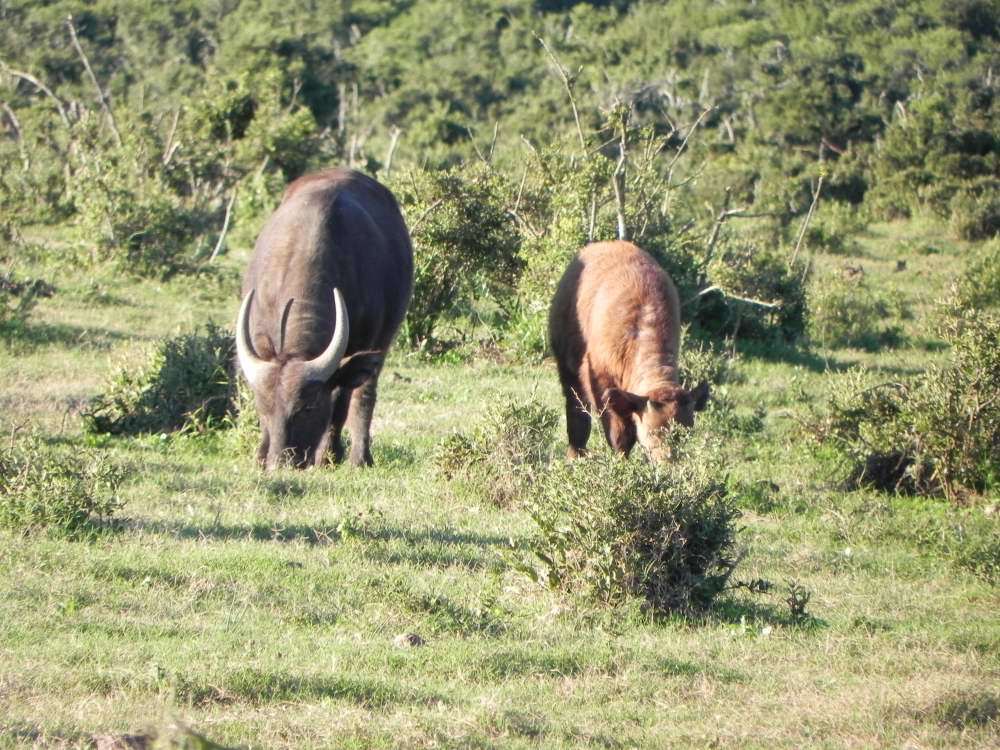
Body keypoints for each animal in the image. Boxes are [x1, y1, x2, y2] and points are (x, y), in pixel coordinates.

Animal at [236, 170, 412, 470]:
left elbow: (341, 401)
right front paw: (260, 454)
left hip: (383, 338)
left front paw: (329, 455)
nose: (280, 462)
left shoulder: (361, 342)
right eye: (263, 407)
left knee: (364, 393)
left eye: (308, 407)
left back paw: (359, 457)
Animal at [548, 244, 712, 462]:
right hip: (569, 373)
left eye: (685, 434)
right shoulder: (603, 387)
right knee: (577, 415)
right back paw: (576, 455)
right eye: (652, 433)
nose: (667, 460)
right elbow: (619, 436)